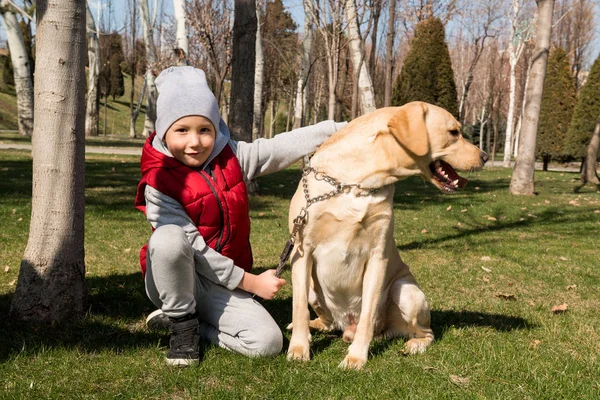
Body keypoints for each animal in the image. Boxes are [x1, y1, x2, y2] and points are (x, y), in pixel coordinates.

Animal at [286, 101, 488, 370]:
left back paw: (412, 345)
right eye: (454, 132)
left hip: (405, 289)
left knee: (424, 332)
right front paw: (299, 349)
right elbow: (298, 308)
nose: (486, 156)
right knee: (325, 321)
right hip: (310, 284)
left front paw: (355, 357)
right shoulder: (301, 250)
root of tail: (344, 324)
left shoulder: (377, 256)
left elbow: (367, 316)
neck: (355, 183)